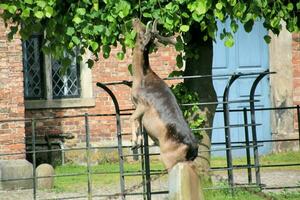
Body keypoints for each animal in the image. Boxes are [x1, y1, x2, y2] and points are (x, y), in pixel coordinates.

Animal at [129, 18, 198, 170]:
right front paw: (138, 143)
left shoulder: (142, 103)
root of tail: (192, 150)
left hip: (169, 158)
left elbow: (131, 118)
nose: (135, 19)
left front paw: (133, 143)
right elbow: (138, 123)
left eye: (143, 32)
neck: (139, 78)